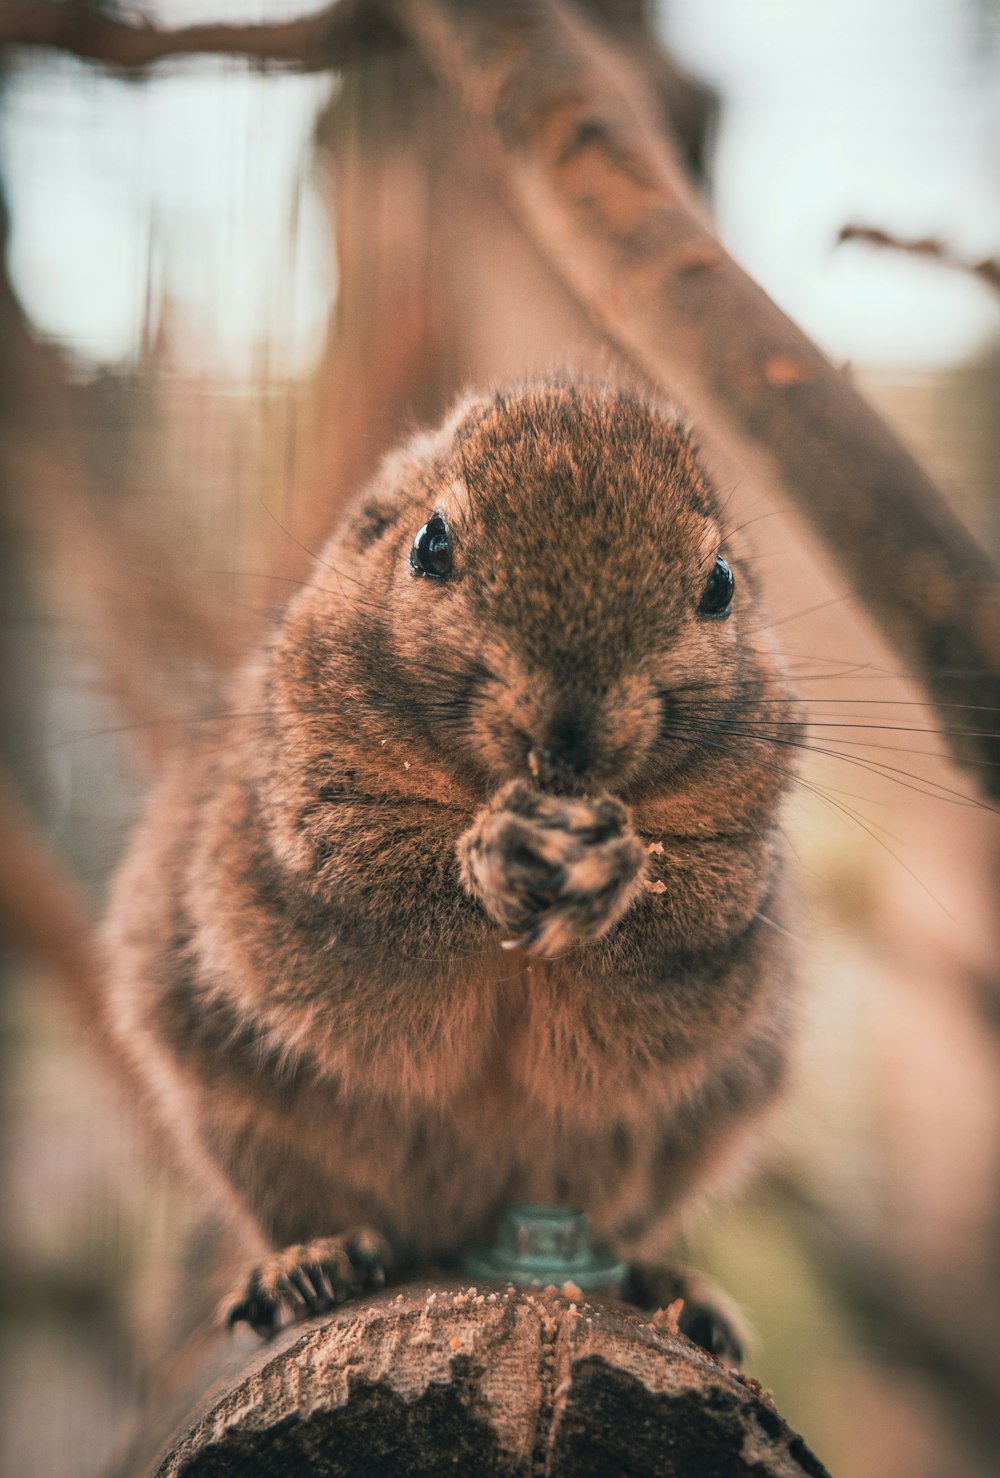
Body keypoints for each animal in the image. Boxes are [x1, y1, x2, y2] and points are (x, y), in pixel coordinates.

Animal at [101, 381, 803, 1359]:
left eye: (722, 584)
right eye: (430, 544)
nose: (568, 738)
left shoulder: (736, 866)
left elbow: (693, 916)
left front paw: (614, 876)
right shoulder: (307, 805)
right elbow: (371, 875)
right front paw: (489, 857)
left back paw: (676, 1289)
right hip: (234, 1104)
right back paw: (312, 1261)